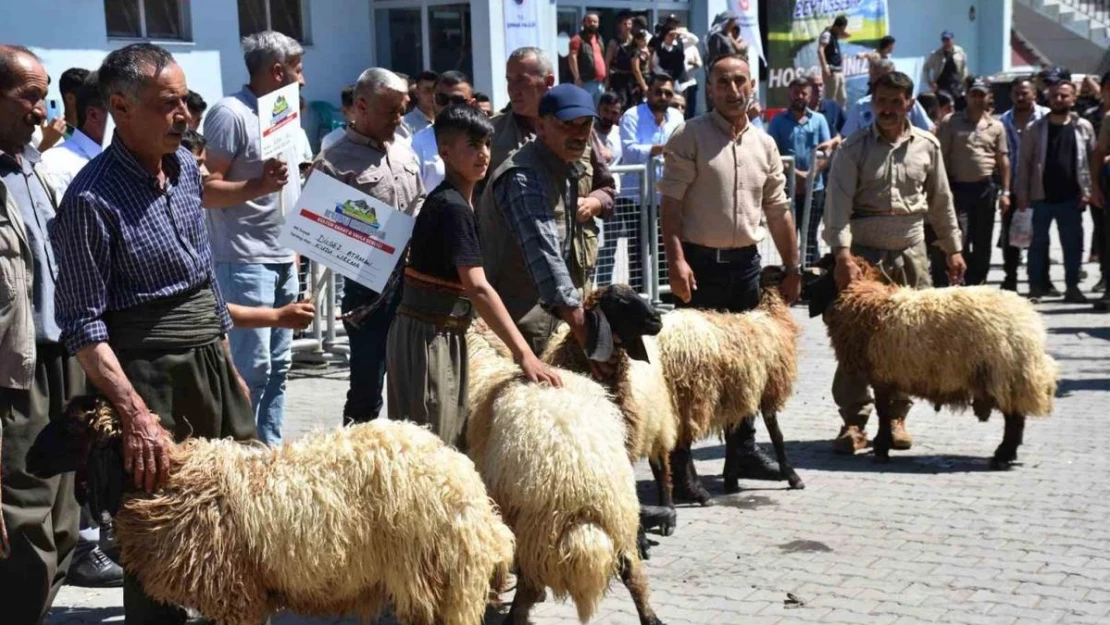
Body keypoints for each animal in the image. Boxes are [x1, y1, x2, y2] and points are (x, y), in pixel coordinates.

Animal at [463, 321, 661, 625]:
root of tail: (585, 481)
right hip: (620, 519)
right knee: (634, 572)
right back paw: (651, 617)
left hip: (536, 526)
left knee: (530, 585)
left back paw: (515, 617)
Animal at [812, 256, 1061, 466]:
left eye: (824, 272)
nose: (805, 292)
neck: (868, 302)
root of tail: (1029, 321)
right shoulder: (888, 374)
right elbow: (887, 411)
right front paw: (884, 445)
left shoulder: (882, 375)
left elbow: (884, 412)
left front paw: (882, 449)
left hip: (1005, 374)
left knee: (1014, 419)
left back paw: (1002, 456)